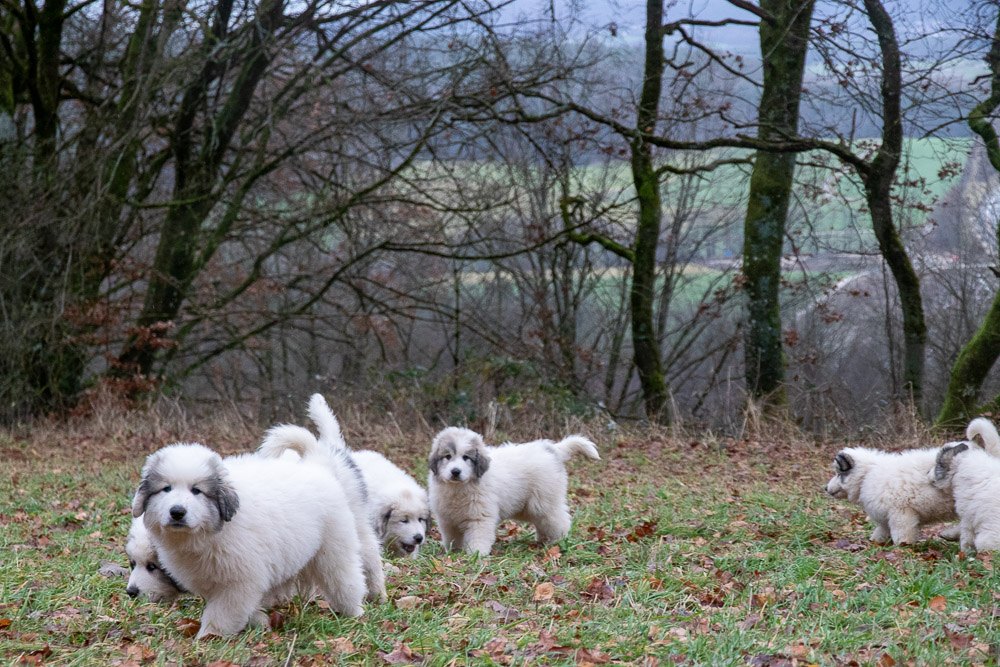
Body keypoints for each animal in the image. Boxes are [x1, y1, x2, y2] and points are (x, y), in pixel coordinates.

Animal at [426, 428, 596, 560]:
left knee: (558, 520)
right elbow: (452, 537)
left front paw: (476, 555)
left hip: (544, 501)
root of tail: (550, 449)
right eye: (447, 456)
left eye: (466, 457)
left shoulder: (480, 517)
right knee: (542, 522)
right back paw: (542, 541)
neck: (459, 487)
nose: (455, 471)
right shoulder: (447, 519)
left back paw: (559, 541)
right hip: (529, 507)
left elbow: (478, 536)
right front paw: (453, 552)